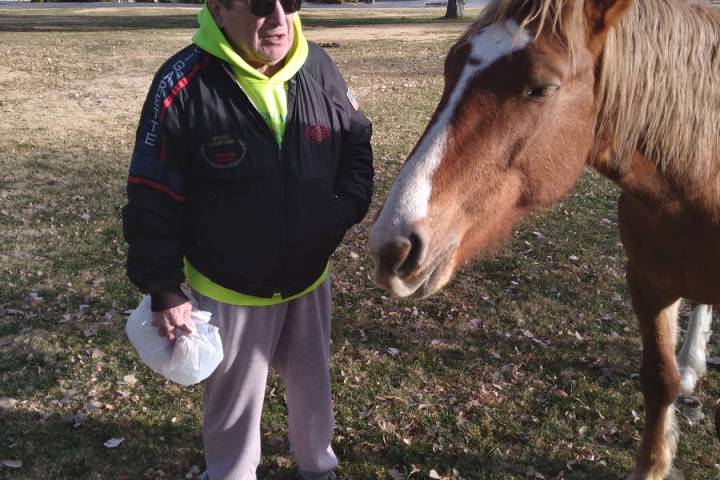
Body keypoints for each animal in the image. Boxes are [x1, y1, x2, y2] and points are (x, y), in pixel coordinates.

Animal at [372, 0, 720, 480]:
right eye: (450, 68)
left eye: (541, 88)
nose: (393, 245)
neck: (695, 186)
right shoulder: (647, 283)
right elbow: (658, 380)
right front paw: (652, 464)